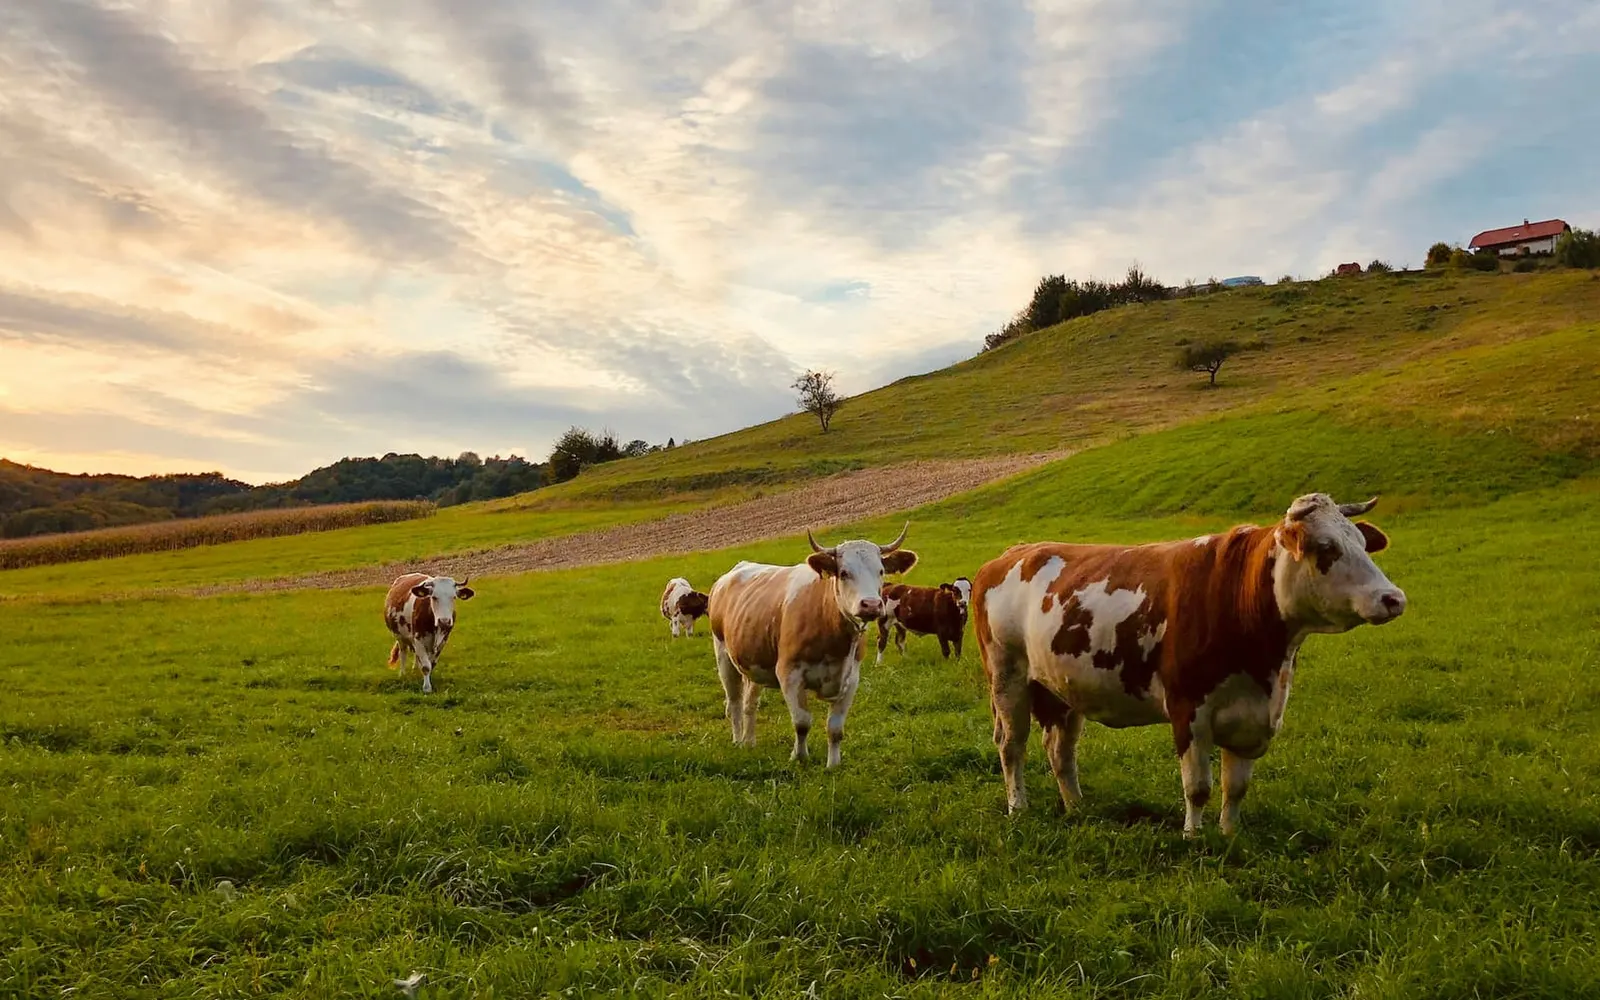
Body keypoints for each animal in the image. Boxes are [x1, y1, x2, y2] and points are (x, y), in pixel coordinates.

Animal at [709, 523, 917, 767]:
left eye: (881, 571)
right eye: (844, 573)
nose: (872, 605)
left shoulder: (851, 678)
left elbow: (835, 729)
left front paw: (833, 765)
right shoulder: (789, 673)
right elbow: (802, 722)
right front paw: (799, 757)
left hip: (753, 661)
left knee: (749, 703)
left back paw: (749, 742)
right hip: (723, 655)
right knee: (734, 702)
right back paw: (737, 740)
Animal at [972, 494, 1406, 837]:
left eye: (1363, 544)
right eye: (1326, 547)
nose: (1393, 598)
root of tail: (1010, 554)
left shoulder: (1254, 718)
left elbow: (1235, 787)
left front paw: (1229, 835)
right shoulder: (1188, 710)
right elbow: (1198, 786)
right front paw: (1194, 838)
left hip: (1061, 687)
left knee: (1060, 750)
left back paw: (1077, 808)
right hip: (1007, 677)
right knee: (1012, 745)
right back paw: (1018, 807)